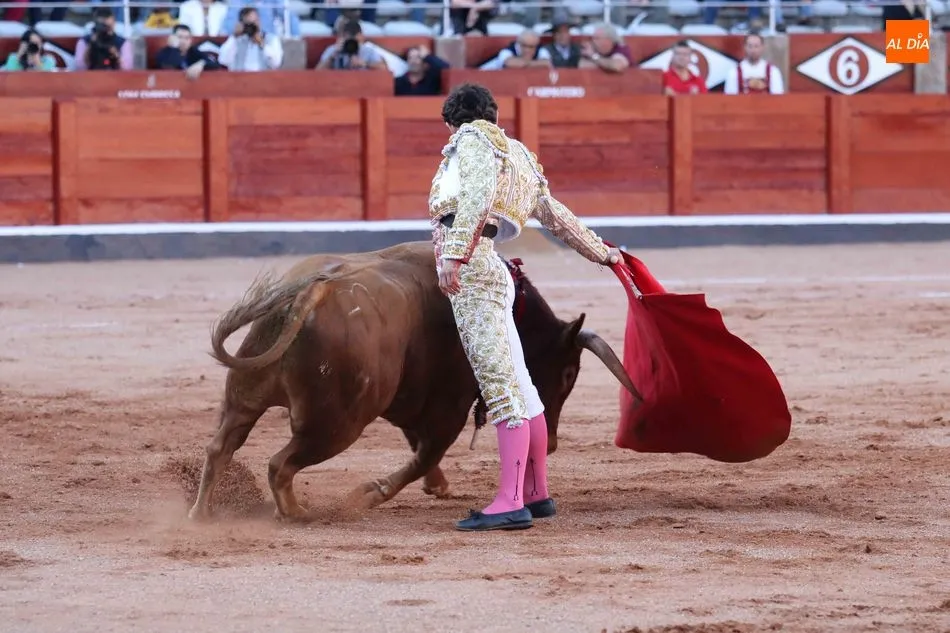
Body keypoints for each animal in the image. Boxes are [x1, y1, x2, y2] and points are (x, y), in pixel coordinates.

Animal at [188, 240, 637, 522]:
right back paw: (296, 512)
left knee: (220, 447)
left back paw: (202, 512)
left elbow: (417, 444)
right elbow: (426, 451)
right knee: (280, 463)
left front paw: (437, 486)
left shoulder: (413, 400)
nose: (556, 443)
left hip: (245, 396)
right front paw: (370, 494)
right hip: (336, 425)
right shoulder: (450, 404)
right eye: (567, 374)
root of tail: (311, 293)